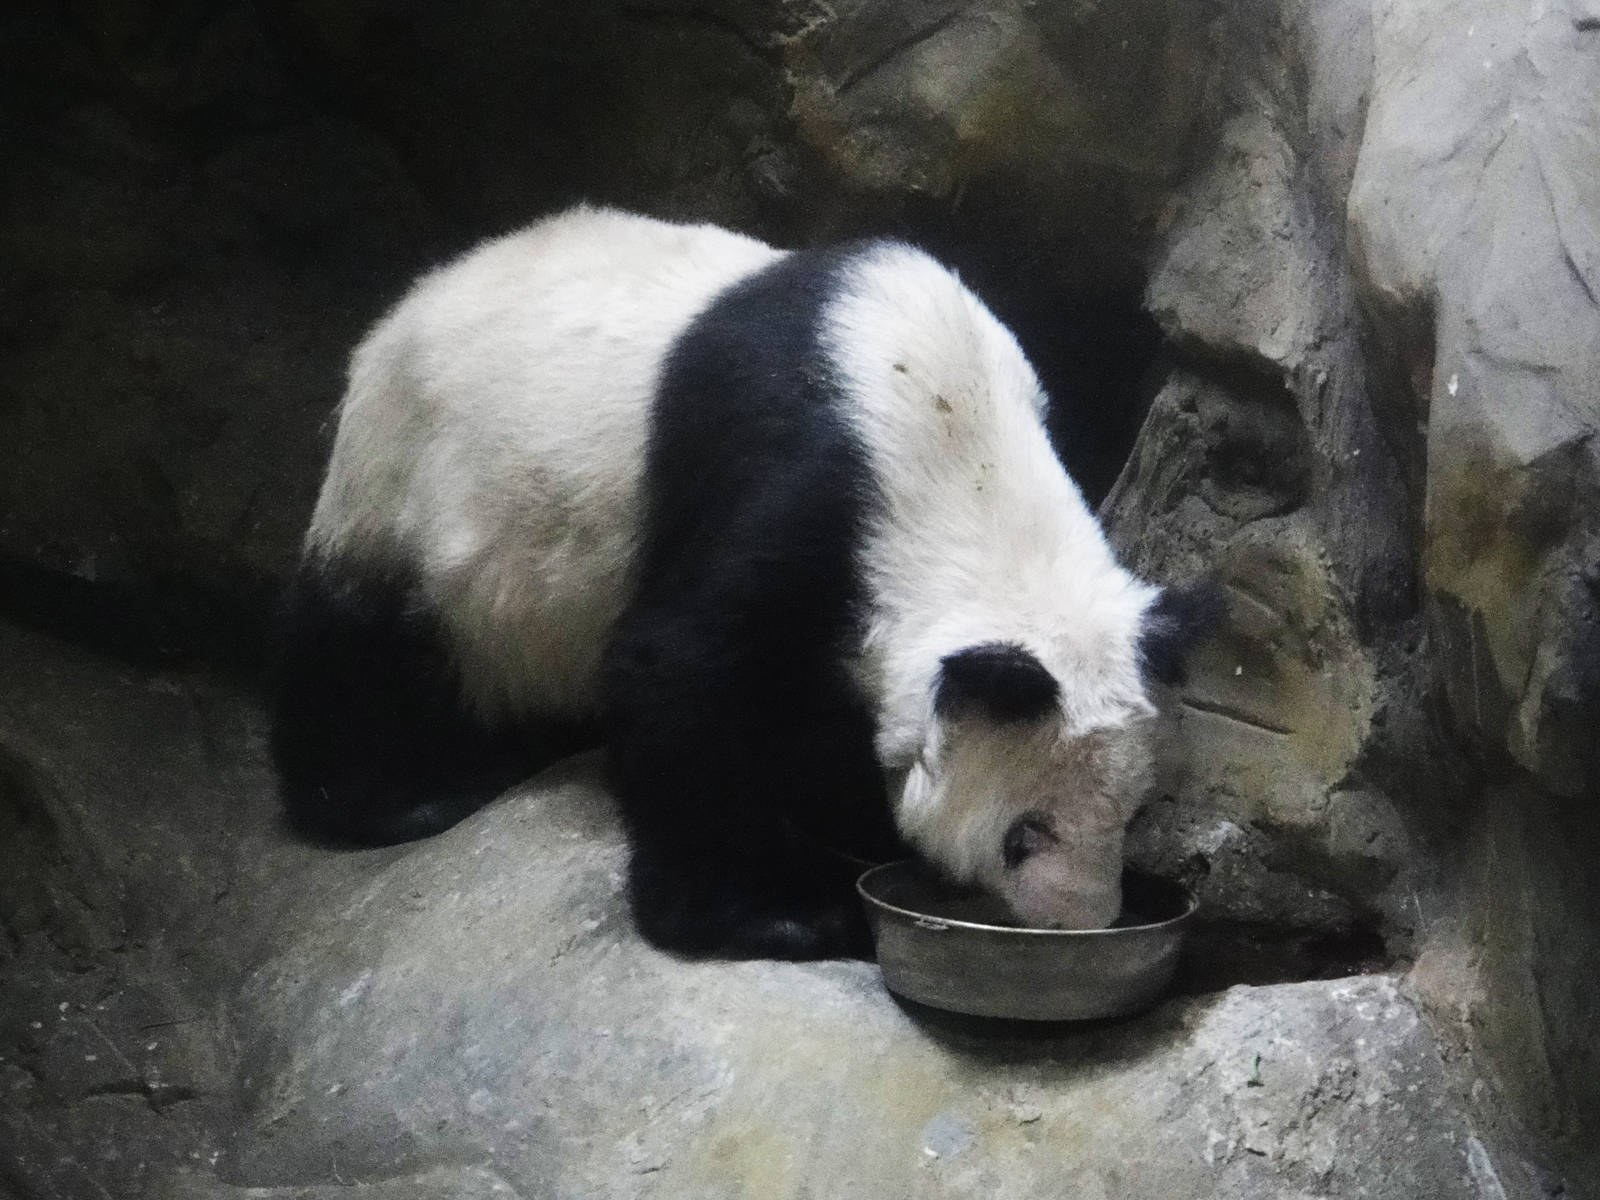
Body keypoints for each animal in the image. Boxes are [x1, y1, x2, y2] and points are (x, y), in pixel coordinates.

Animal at [271, 205, 1205, 961]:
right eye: (1025, 833)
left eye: (1134, 816)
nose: (1077, 920)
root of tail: (405, 308)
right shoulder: (791, 483)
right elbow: (682, 674)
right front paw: (775, 912)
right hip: (411, 492)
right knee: (368, 648)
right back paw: (395, 798)